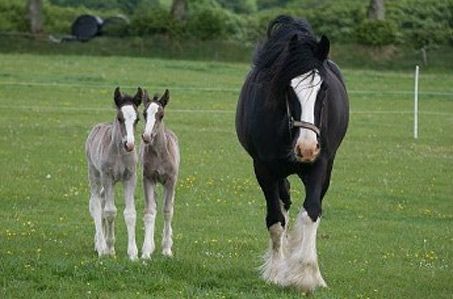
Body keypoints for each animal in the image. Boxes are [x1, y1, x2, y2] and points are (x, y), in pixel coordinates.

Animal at [85, 86, 141, 260]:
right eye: (119, 118)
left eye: (137, 119)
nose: (129, 145)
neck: (119, 153)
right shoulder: (107, 177)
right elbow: (110, 212)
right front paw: (108, 249)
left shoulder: (130, 177)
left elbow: (130, 213)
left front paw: (133, 253)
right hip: (94, 174)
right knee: (96, 203)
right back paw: (100, 245)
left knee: (102, 200)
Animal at [235, 15, 348, 292]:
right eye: (289, 87)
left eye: (324, 89)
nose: (306, 148)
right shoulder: (264, 169)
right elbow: (276, 220)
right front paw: (276, 273)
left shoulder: (320, 165)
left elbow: (311, 212)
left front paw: (307, 275)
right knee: (284, 201)